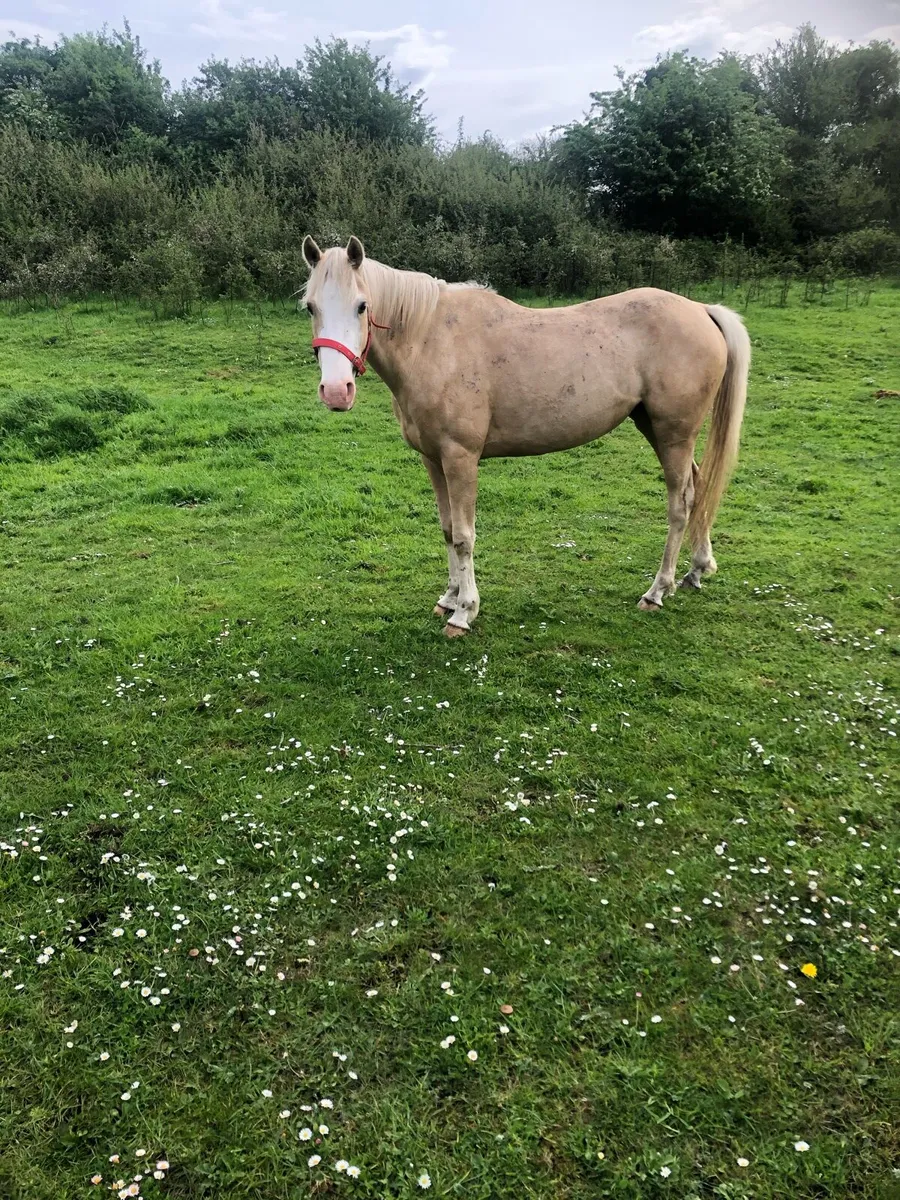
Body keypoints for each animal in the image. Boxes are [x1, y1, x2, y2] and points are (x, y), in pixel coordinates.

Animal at [302, 235, 750, 636]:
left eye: (362, 306)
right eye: (310, 306)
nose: (337, 391)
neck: (432, 341)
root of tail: (701, 310)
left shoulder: (460, 458)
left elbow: (463, 536)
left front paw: (464, 612)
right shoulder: (433, 458)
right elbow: (447, 529)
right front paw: (448, 597)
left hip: (674, 435)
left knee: (680, 503)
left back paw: (658, 590)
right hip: (657, 429)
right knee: (699, 488)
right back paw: (697, 569)